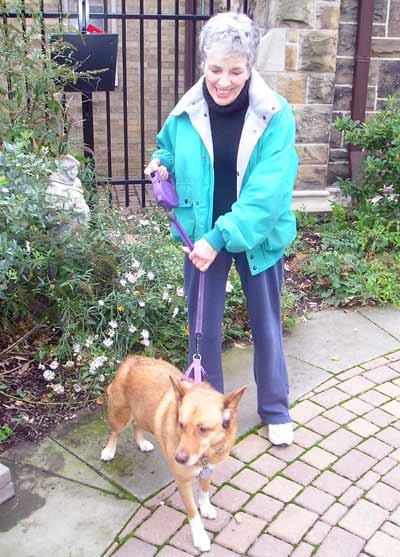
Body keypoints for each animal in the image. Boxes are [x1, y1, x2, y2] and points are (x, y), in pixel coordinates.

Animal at [101, 354, 245, 548]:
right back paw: (109, 451)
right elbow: (193, 513)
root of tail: (132, 359)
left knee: (136, 424)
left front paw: (206, 507)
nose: (179, 459)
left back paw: (142, 442)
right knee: (115, 432)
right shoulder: (183, 482)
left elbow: (204, 491)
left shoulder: (208, 470)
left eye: (203, 429)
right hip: (120, 416)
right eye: (181, 424)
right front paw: (200, 537)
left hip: (142, 413)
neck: (205, 454)